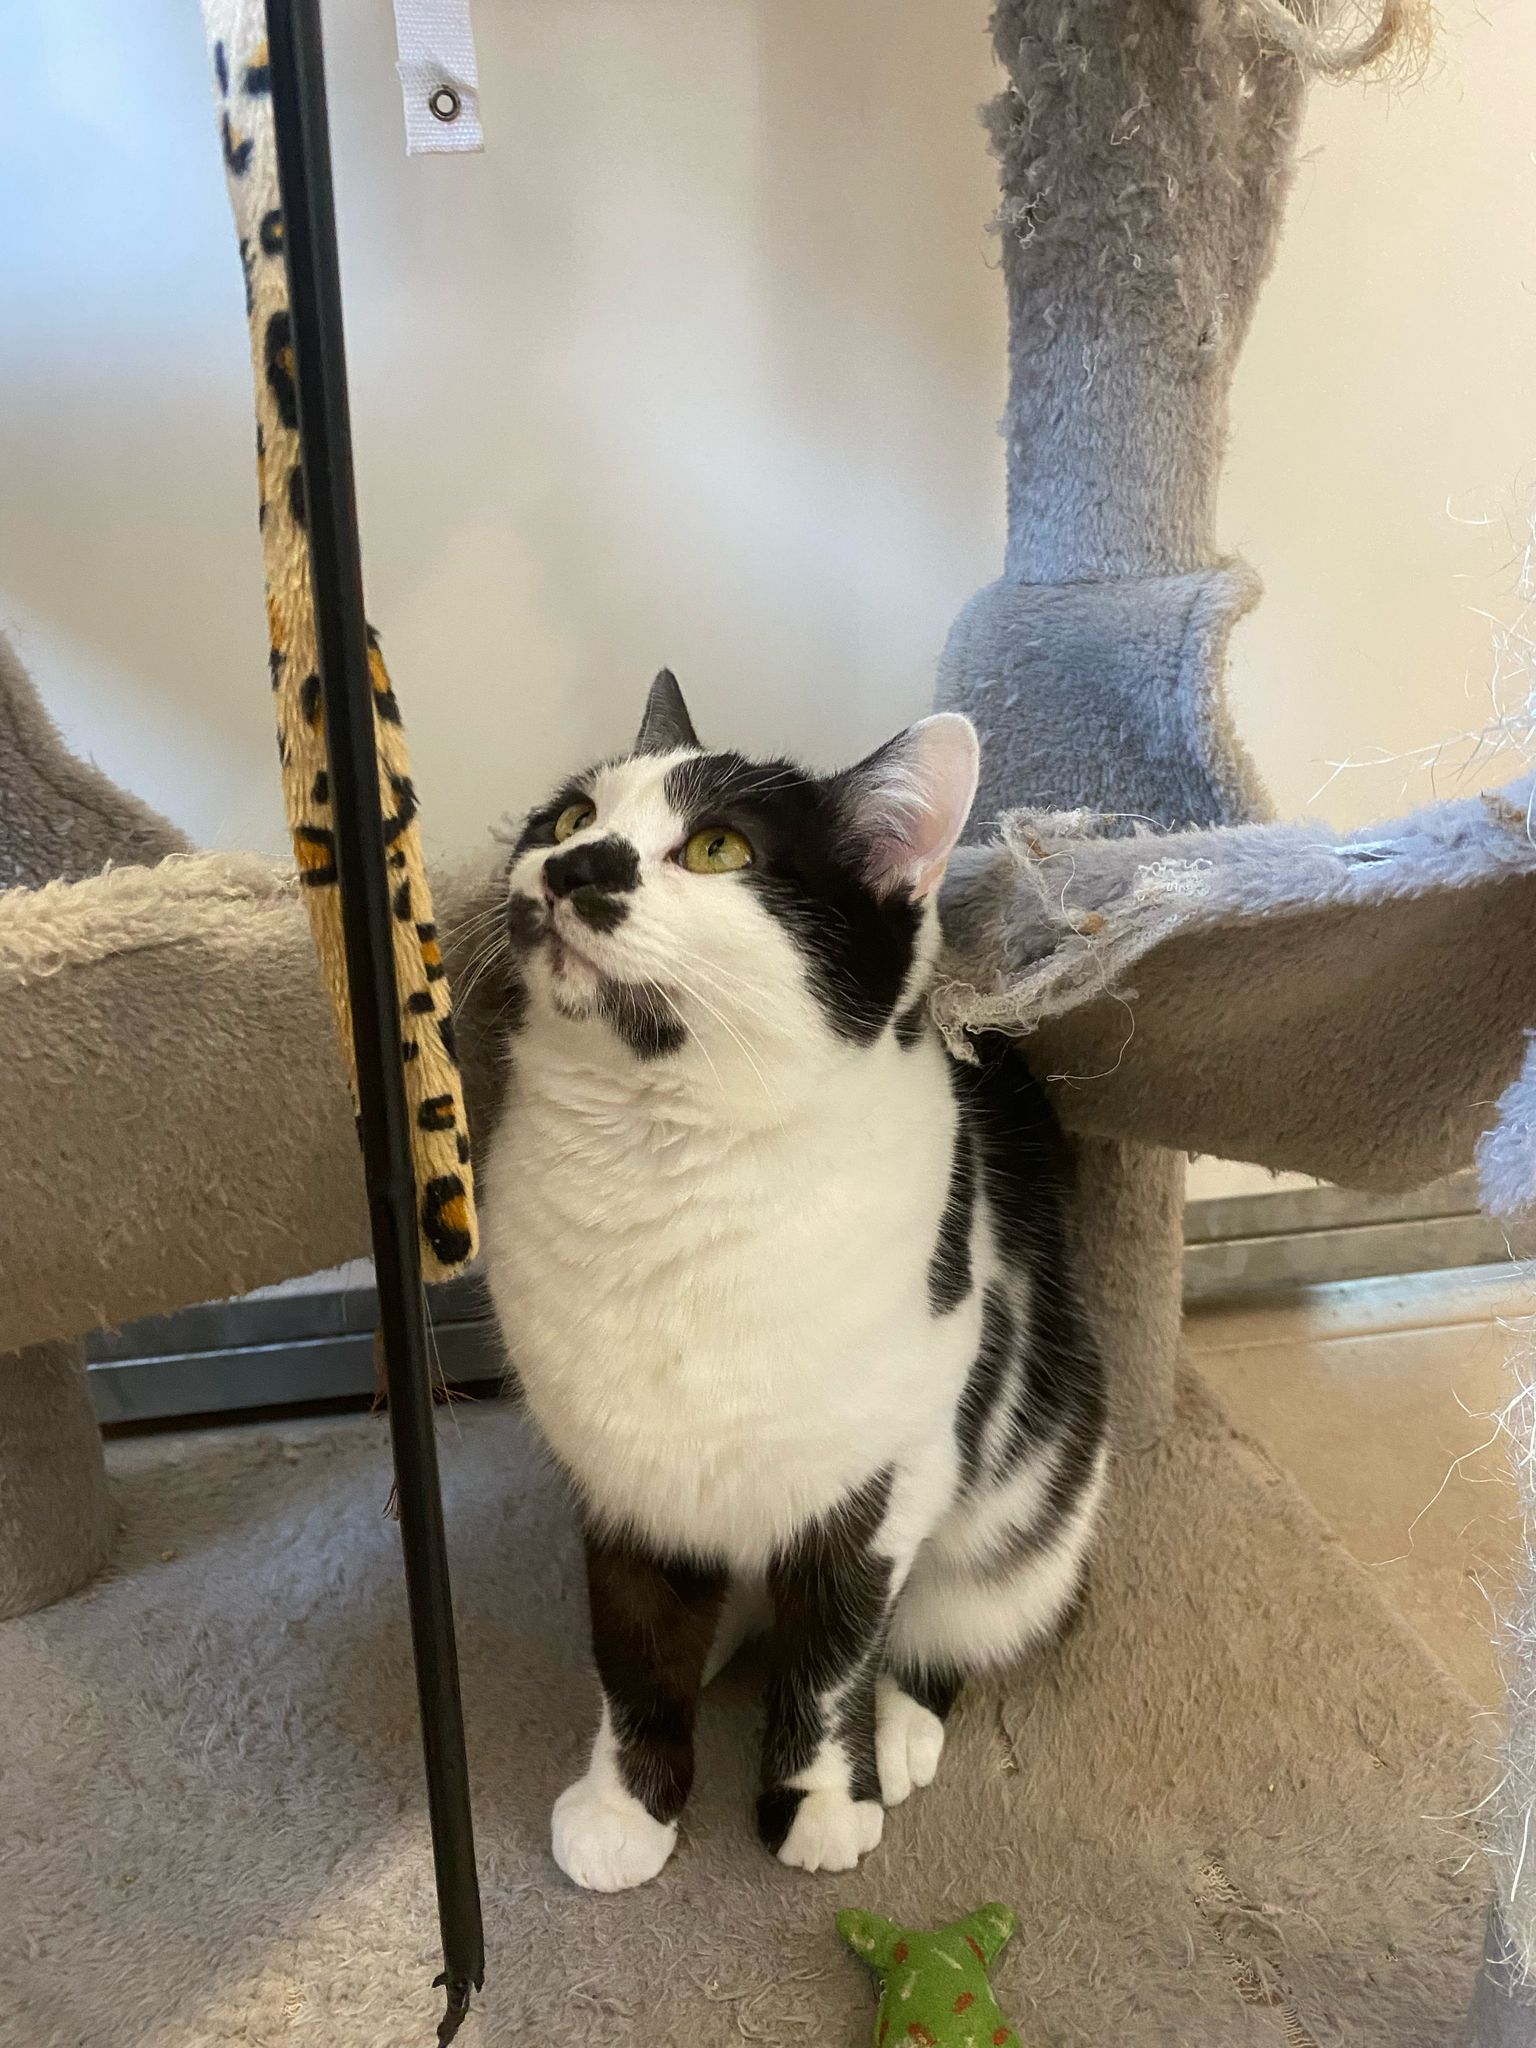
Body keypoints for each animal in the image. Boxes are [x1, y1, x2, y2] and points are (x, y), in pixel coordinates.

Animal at [478, 670, 1108, 1893]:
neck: (663, 1173)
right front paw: (628, 1808)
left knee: (945, 1626)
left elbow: (830, 1659)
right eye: (572, 815)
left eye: (719, 848)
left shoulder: (880, 1480)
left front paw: (817, 1802)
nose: (576, 866)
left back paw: (901, 1727)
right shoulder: (620, 1479)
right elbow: (633, 1647)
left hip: (1033, 1509)